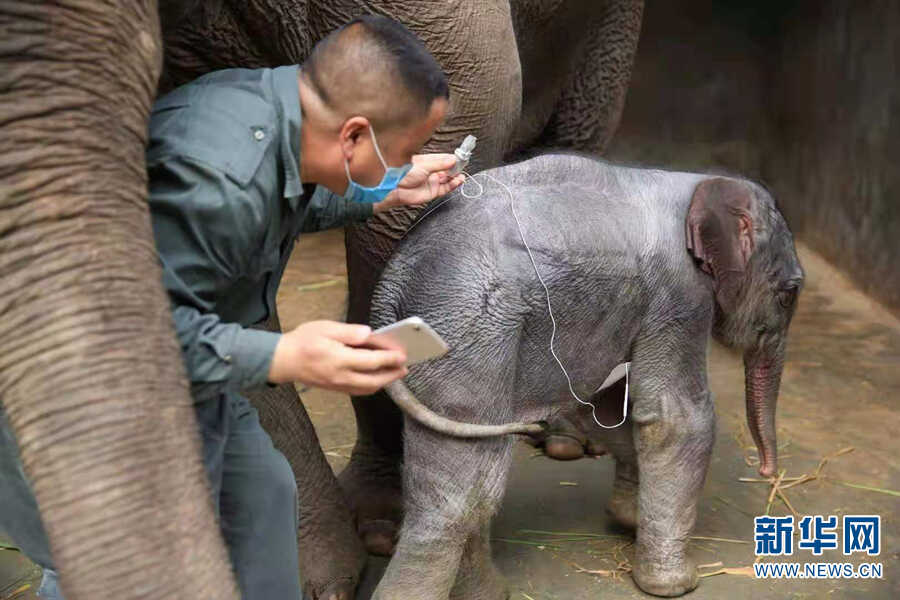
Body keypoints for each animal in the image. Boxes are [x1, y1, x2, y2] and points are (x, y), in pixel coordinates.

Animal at [365, 153, 804, 599]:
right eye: (791, 293)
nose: (767, 472)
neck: (697, 183)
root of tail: (392, 279)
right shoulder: (680, 294)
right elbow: (674, 418)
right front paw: (676, 584)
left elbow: (604, 406)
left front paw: (629, 519)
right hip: (468, 329)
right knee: (461, 495)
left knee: (471, 482)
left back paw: (491, 592)